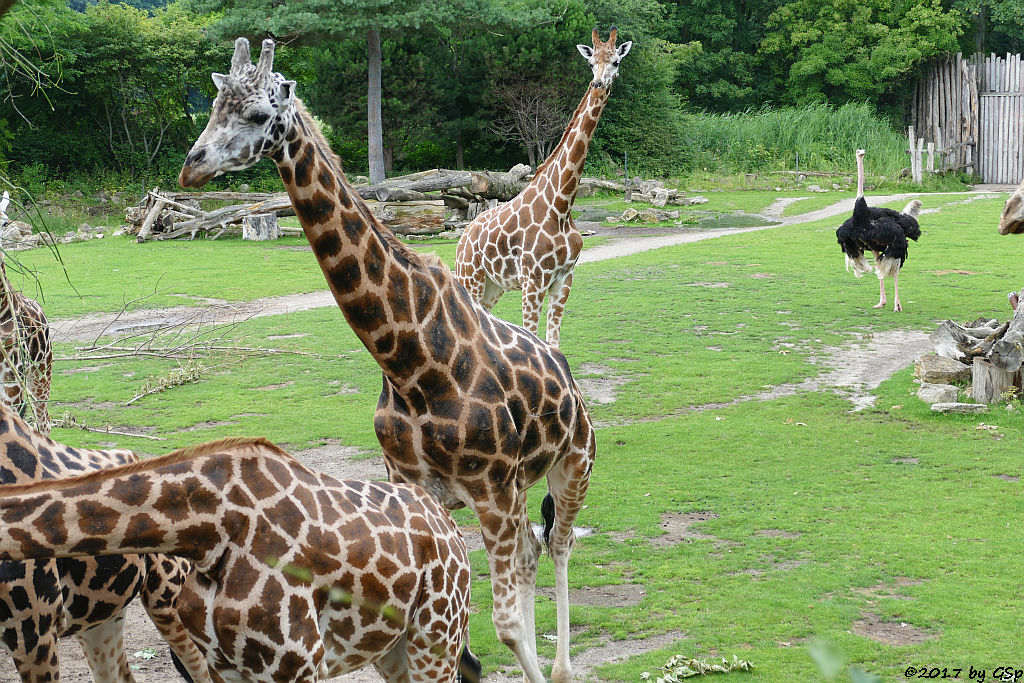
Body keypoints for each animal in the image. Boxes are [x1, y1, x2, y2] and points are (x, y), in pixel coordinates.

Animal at [0, 438, 473, 683]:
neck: (208, 531)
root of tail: (449, 525)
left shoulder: (298, 666)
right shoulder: (226, 666)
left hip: (438, 634)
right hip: (392, 646)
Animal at [179, 38, 598, 683]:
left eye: (255, 113)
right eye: (212, 107)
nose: (192, 166)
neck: (411, 361)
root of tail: (570, 381)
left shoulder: (493, 488)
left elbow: (503, 626)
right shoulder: (416, 486)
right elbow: (464, 640)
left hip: (572, 464)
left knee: (558, 544)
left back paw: (563, 666)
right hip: (518, 488)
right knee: (533, 548)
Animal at [456, 26, 630, 348]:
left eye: (616, 62)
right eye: (590, 63)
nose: (598, 83)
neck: (561, 205)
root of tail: (463, 238)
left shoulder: (564, 280)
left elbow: (554, 344)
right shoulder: (533, 281)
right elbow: (534, 338)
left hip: (492, 286)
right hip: (469, 277)